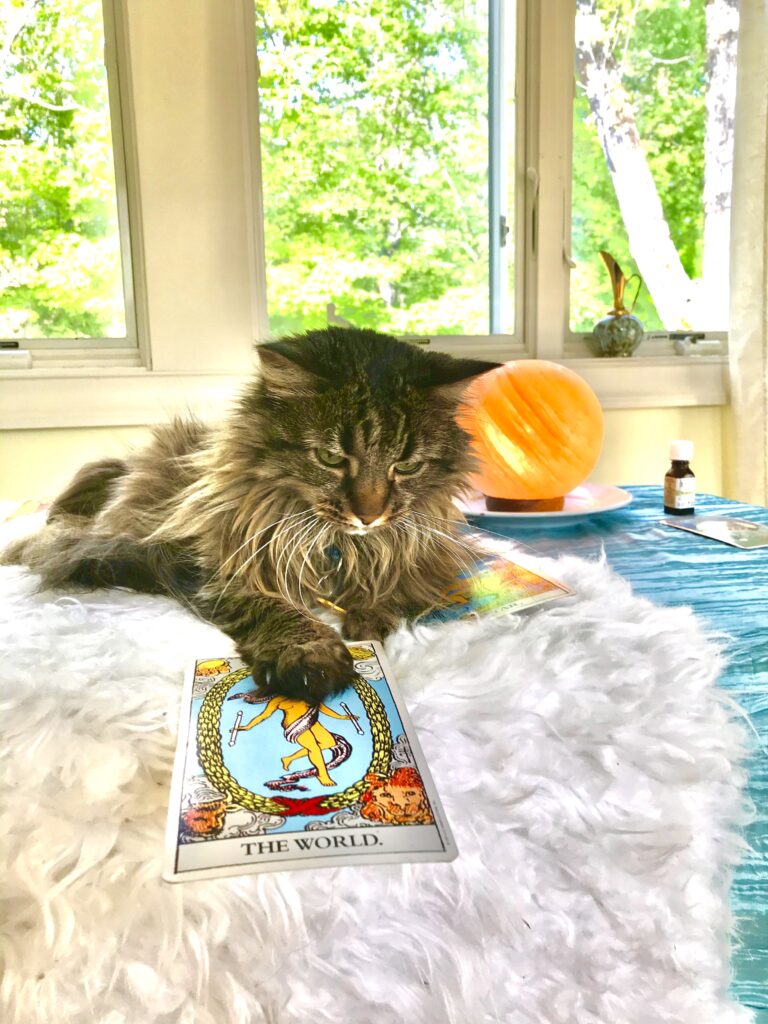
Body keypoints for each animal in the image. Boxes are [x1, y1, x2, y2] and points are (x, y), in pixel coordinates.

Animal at [3, 328, 498, 701]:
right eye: (331, 459)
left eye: (407, 466)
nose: (369, 515)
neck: (337, 547)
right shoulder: (204, 564)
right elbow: (269, 605)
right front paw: (312, 652)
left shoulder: (427, 561)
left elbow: (393, 584)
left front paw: (370, 618)